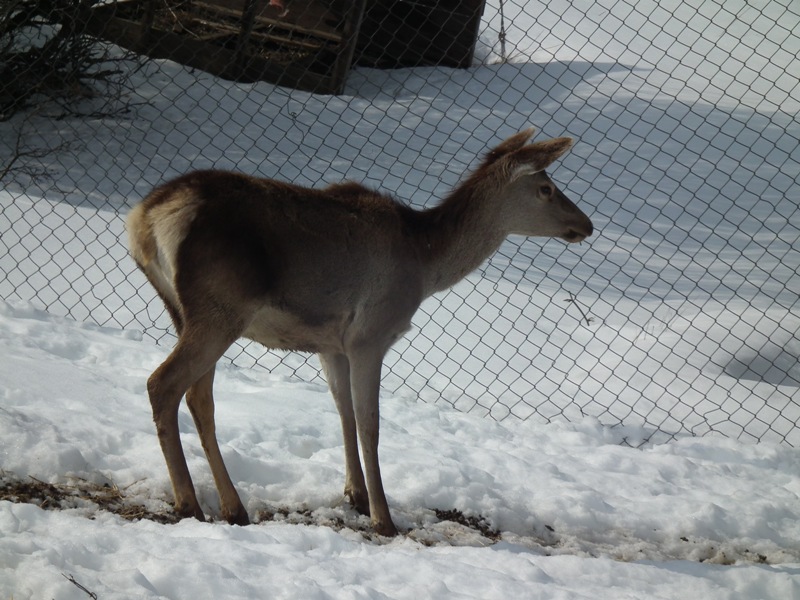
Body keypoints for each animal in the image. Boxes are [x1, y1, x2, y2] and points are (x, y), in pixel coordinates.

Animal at [126, 127, 592, 536]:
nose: (586, 225)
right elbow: (371, 423)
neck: (425, 264)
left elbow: (343, 411)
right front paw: (383, 517)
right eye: (547, 187)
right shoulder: (371, 335)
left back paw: (232, 506)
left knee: (198, 397)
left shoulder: (331, 344)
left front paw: (357, 495)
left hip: (185, 312)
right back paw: (190, 503)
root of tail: (143, 220)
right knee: (162, 383)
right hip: (219, 310)